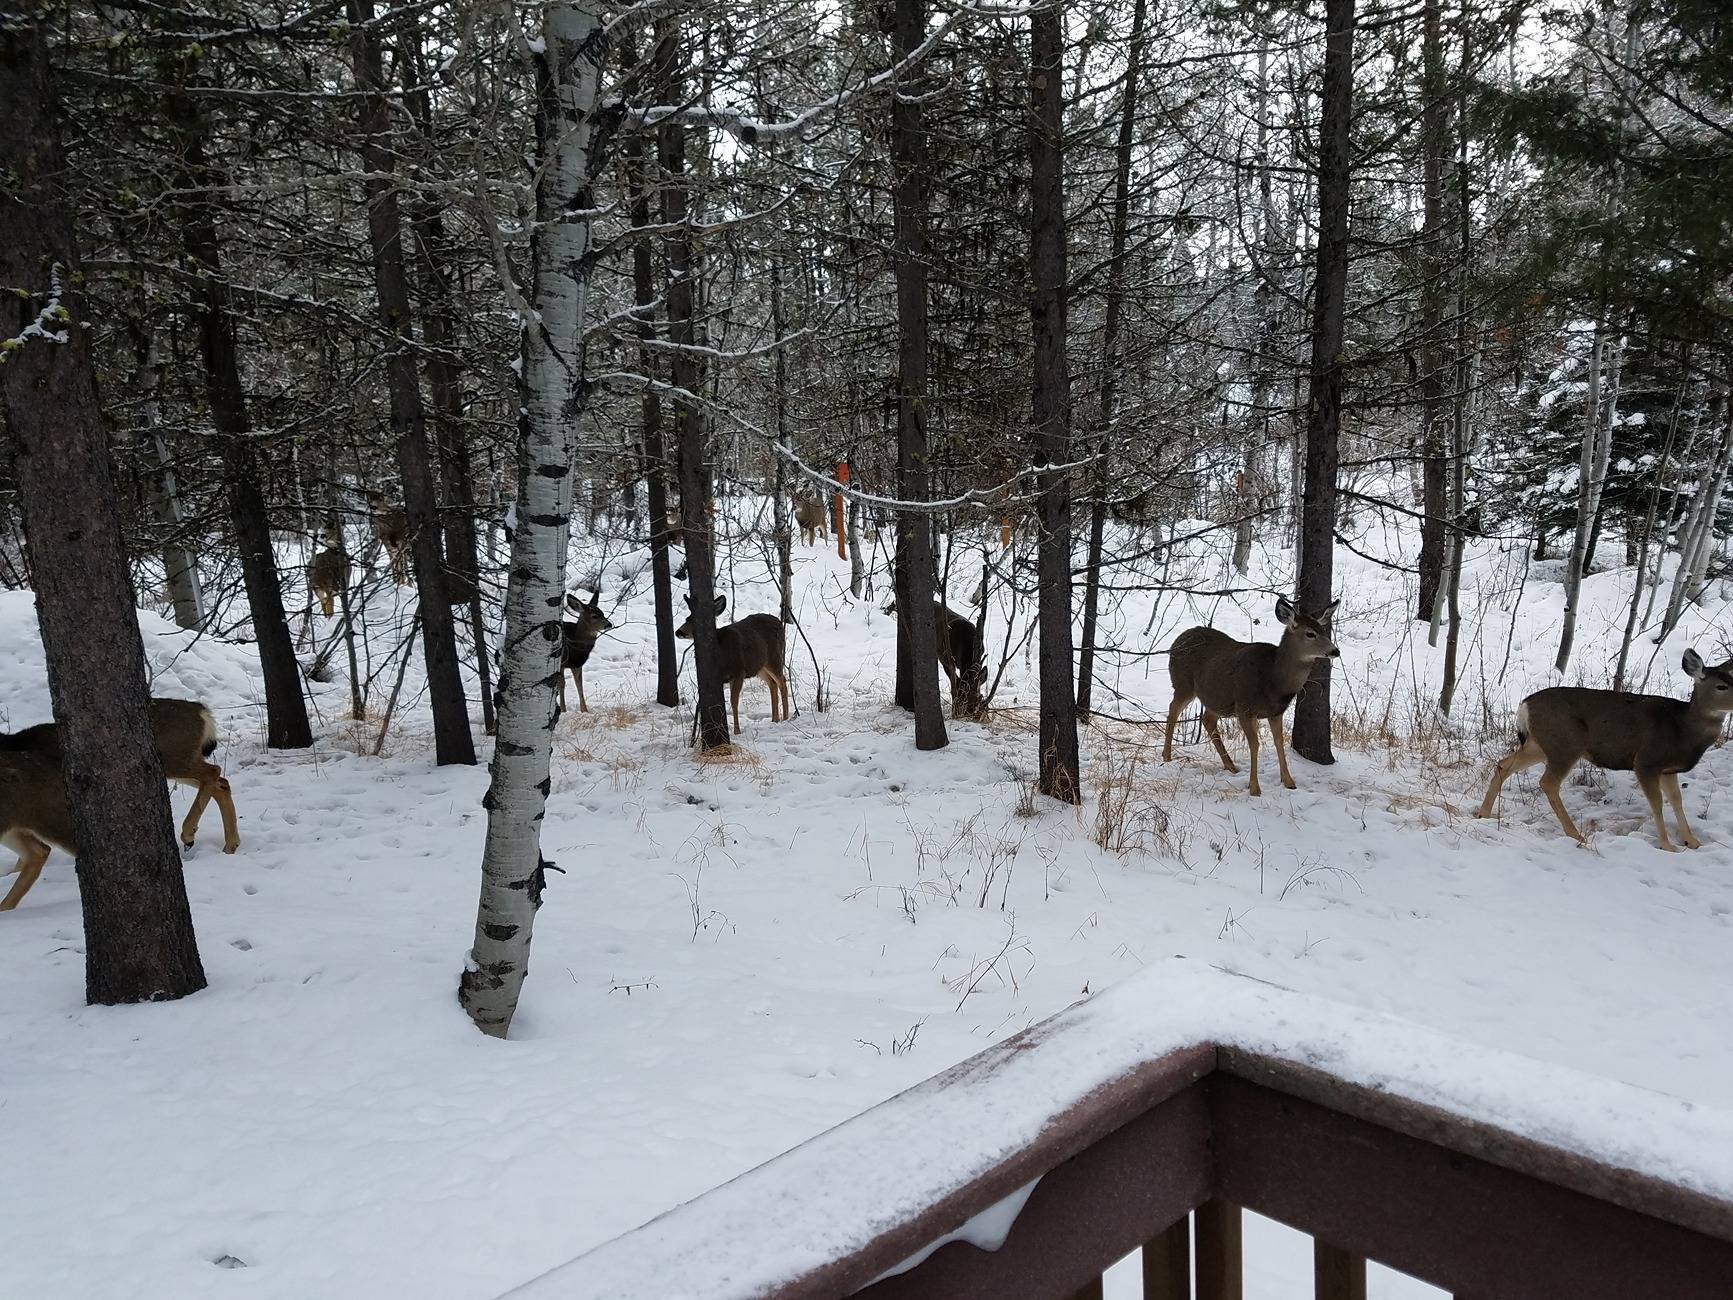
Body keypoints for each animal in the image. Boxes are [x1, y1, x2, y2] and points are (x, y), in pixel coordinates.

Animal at [1, 698, 239, 911]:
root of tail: (201, 711)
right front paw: (11, 873)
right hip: (175, 763)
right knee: (221, 783)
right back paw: (229, 844)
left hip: (176, 758)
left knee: (214, 772)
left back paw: (189, 834)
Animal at [674, 595, 789, 734]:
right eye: (686, 619)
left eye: (694, 621)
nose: (678, 632)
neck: (721, 653)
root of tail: (779, 622)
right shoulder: (720, 678)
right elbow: (719, 704)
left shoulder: (738, 671)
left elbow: (734, 701)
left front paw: (736, 731)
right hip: (760, 666)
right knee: (772, 683)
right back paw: (774, 719)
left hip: (774, 657)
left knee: (782, 682)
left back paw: (786, 718)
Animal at [1162, 596, 1340, 797]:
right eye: (1310, 634)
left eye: (1324, 631)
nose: (1335, 651)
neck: (1274, 680)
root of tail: (1178, 640)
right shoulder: (1244, 708)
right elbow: (1254, 744)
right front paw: (1254, 788)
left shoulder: (1275, 712)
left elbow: (1279, 741)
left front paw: (1289, 781)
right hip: (1183, 683)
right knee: (1173, 710)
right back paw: (1167, 756)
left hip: (1217, 697)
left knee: (1207, 719)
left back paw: (1231, 766)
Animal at [1477, 648, 1733, 851]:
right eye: (1721, 686)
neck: (1682, 728)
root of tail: (1524, 705)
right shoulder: (1647, 760)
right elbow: (1658, 802)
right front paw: (1668, 845)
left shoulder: (1668, 770)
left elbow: (1677, 800)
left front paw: (1692, 841)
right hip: (1566, 744)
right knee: (1548, 782)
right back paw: (1576, 834)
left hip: (1539, 744)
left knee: (1504, 765)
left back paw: (1483, 814)